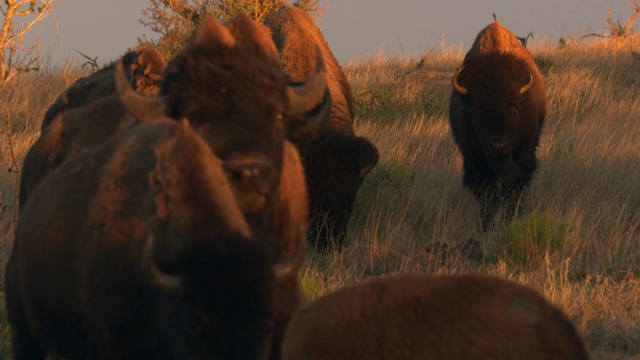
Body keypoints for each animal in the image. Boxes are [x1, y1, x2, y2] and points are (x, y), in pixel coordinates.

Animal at [448, 21, 548, 231]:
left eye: (514, 106)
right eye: (476, 108)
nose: (498, 147)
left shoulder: (523, 157)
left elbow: (514, 193)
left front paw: (510, 222)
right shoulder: (475, 160)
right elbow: (487, 197)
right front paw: (486, 227)